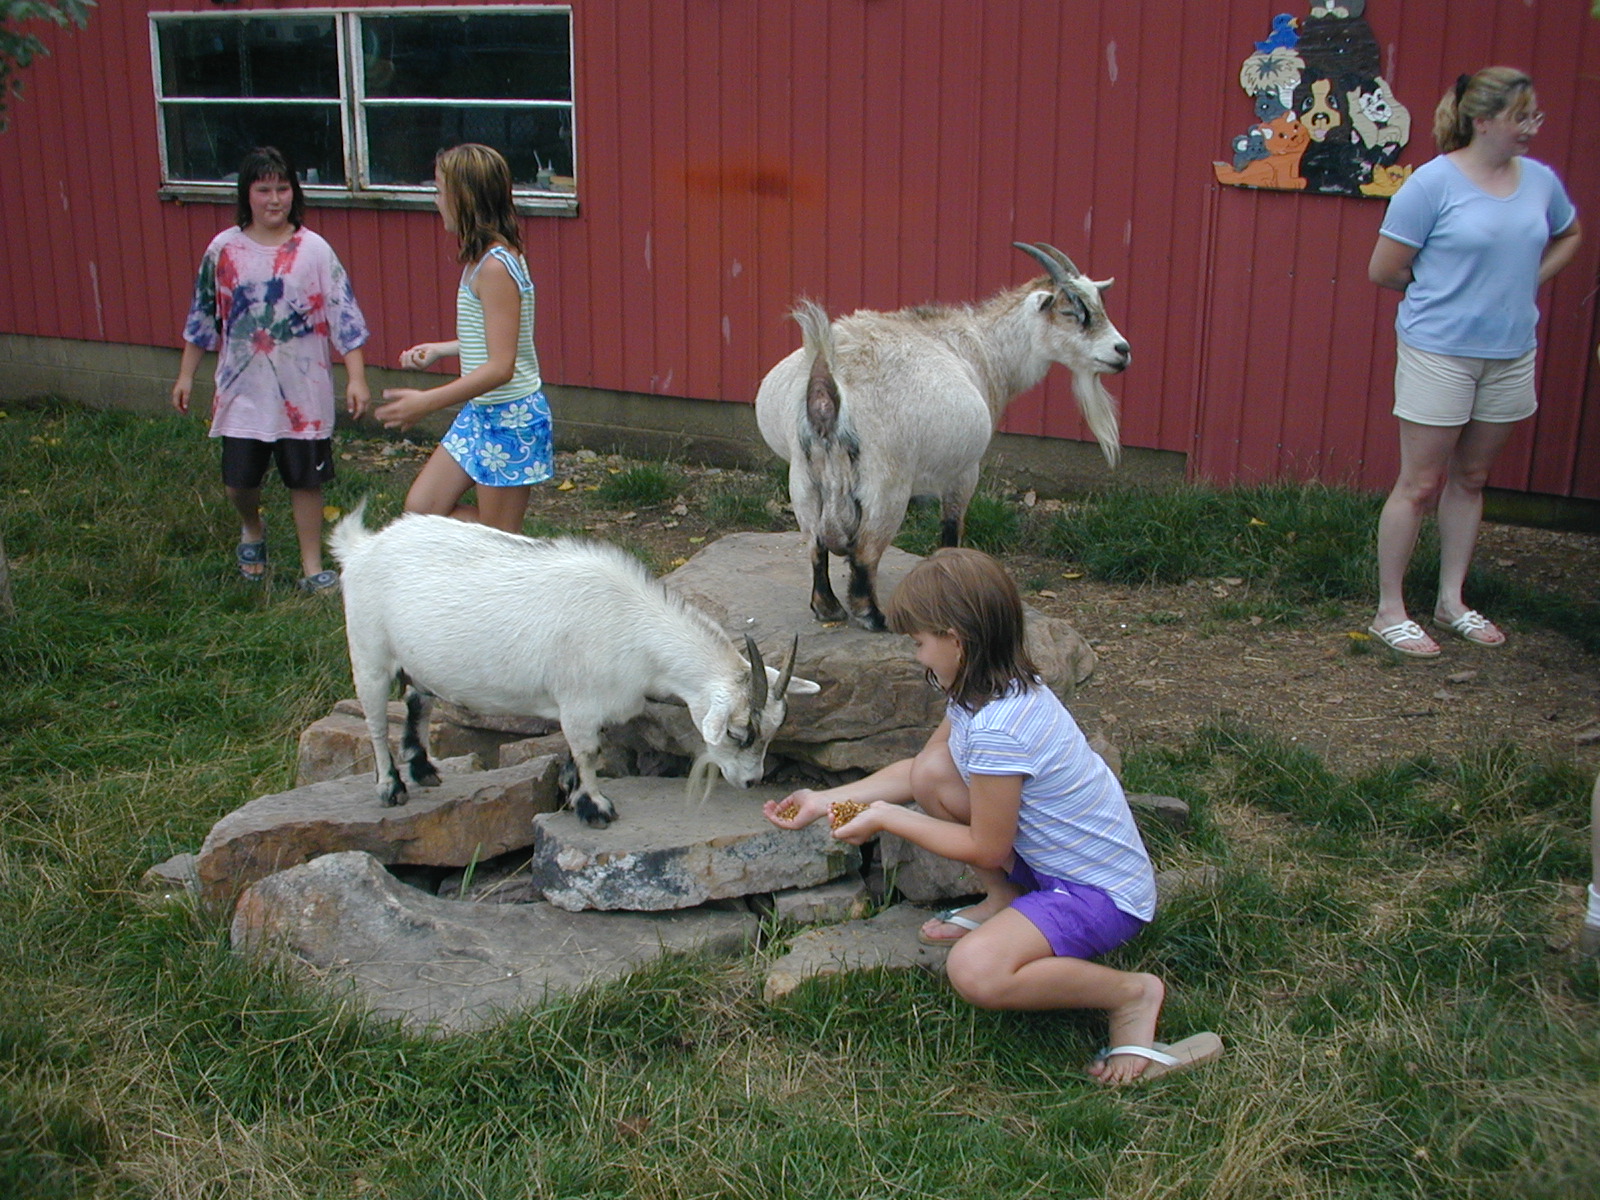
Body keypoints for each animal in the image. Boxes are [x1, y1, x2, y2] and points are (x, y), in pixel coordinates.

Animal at [329, 508, 819, 825]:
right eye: (738, 733)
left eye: (773, 730)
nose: (752, 781)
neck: (634, 628)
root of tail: (362, 547)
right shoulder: (579, 702)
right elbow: (588, 752)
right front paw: (595, 807)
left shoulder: (585, 708)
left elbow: (580, 748)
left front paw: (569, 789)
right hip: (368, 651)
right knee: (375, 720)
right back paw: (391, 787)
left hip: (421, 660)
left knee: (418, 700)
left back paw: (423, 769)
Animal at [755, 246, 1132, 640]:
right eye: (1072, 312)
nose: (1122, 350)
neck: (983, 349)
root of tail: (826, 384)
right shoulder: (964, 470)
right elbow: (952, 528)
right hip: (886, 479)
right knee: (865, 551)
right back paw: (873, 615)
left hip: (803, 474)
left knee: (815, 542)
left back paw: (827, 606)